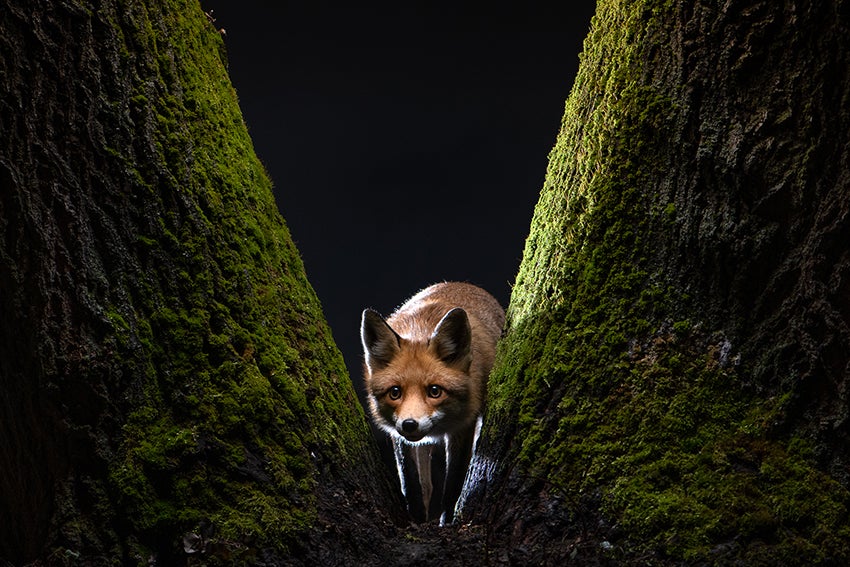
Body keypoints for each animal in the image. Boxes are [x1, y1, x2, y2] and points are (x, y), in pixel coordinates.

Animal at [360, 282, 504, 524]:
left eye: (435, 391)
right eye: (395, 393)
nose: (410, 424)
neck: (420, 329)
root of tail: (462, 283)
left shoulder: (463, 428)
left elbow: (453, 485)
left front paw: (446, 522)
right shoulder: (398, 435)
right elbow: (411, 484)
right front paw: (416, 520)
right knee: (427, 486)